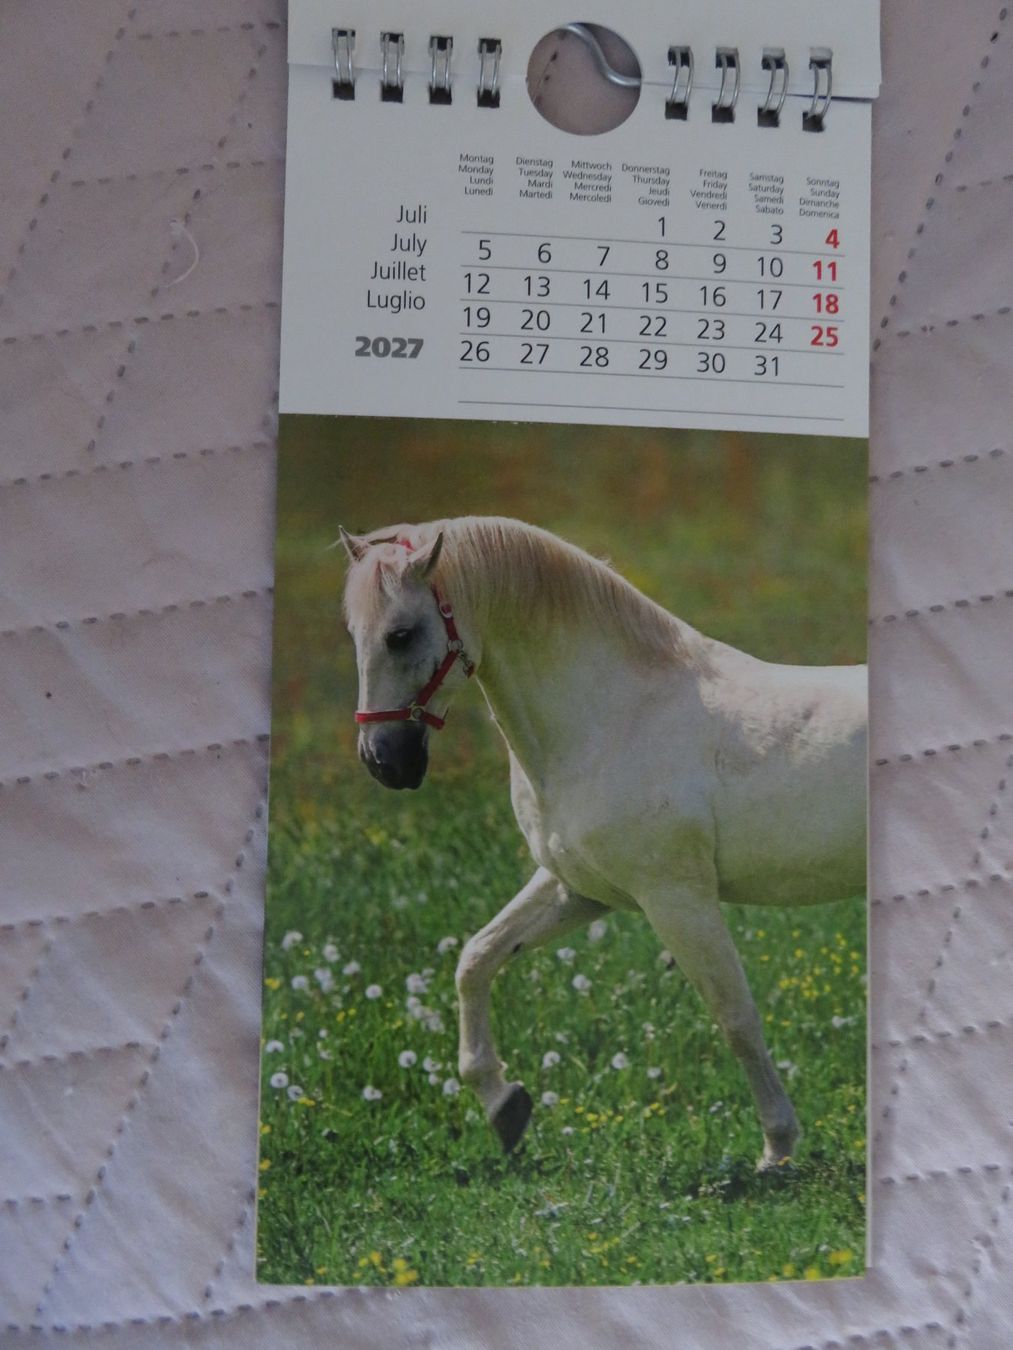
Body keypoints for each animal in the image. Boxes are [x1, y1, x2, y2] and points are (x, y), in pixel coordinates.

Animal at [340, 516, 866, 1169]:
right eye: (353, 632)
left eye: (401, 635)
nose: (385, 762)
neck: (613, 719)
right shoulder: (580, 890)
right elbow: (476, 958)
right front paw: (504, 1106)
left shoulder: (677, 898)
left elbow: (736, 1018)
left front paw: (777, 1149)